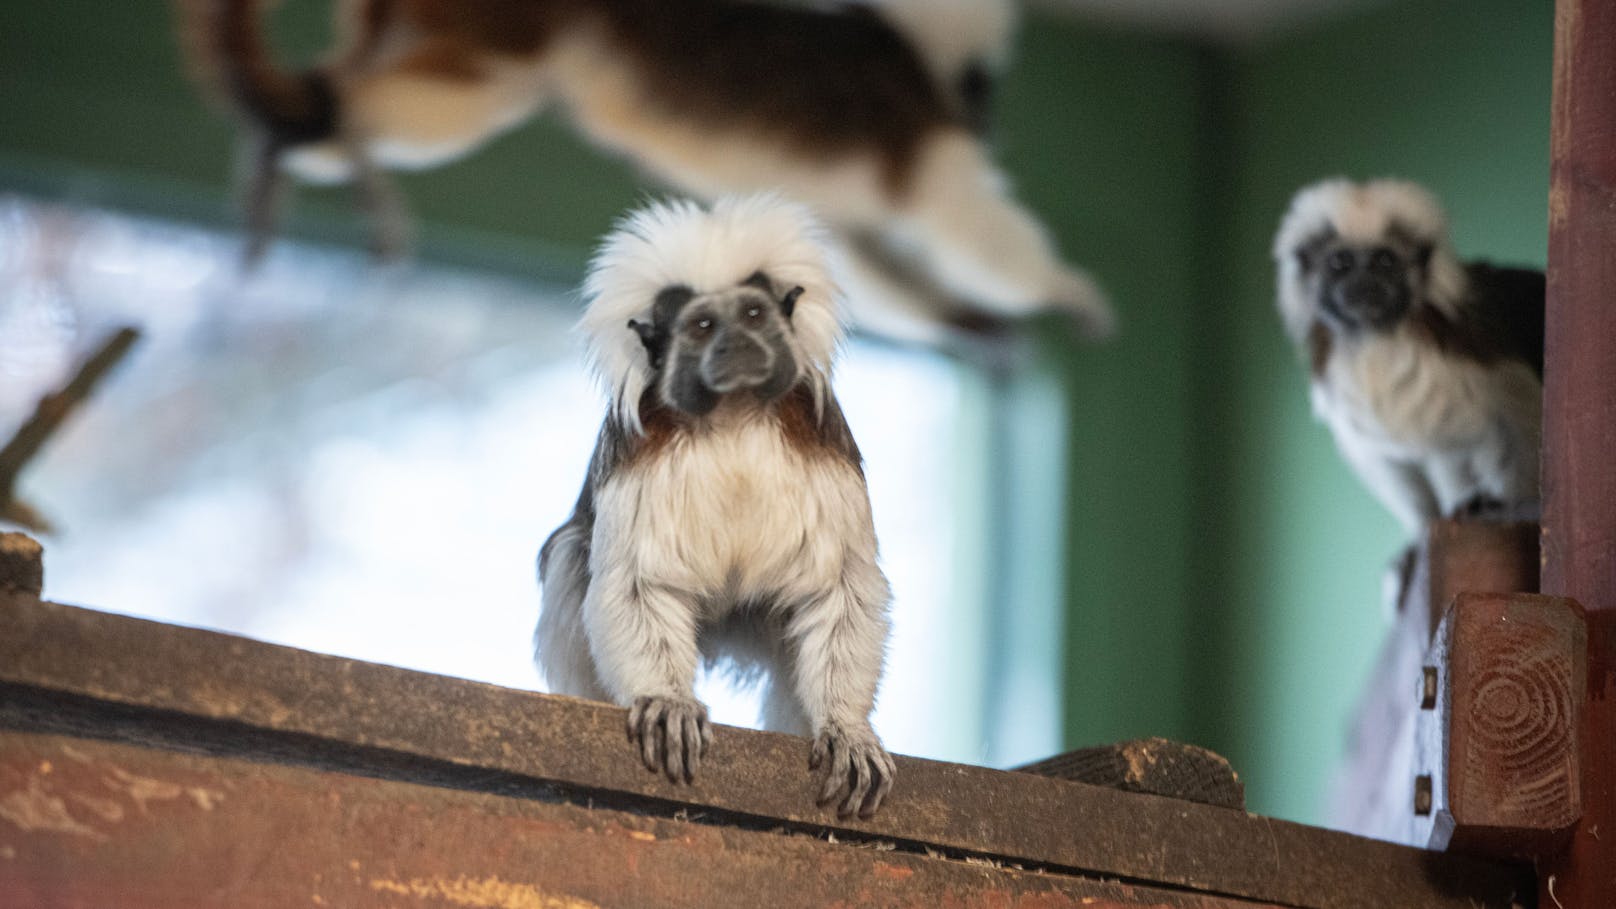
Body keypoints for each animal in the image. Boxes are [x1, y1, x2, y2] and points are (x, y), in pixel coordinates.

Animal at [173, 0, 1111, 339]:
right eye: (980, 90)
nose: (986, 115)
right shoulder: (920, 131)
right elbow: (967, 221)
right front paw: (1069, 294)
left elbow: (859, 262)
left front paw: (974, 327)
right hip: (510, 16)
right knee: (472, 90)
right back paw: (320, 127)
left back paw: (292, 135)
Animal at [539, 194, 898, 818]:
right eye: (703, 326)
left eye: (752, 315)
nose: (735, 346)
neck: (734, 414)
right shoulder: (637, 454)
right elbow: (637, 584)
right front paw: (669, 701)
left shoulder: (827, 446)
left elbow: (839, 590)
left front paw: (846, 728)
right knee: (570, 553)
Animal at [1273, 177, 1538, 530]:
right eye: (1341, 263)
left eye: (1384, 261)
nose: (1365, 284)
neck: (1379, 337)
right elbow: (1383, 457)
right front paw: (1424, 527)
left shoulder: (1477, 345)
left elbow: (1520, 416)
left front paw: (1514, 504)